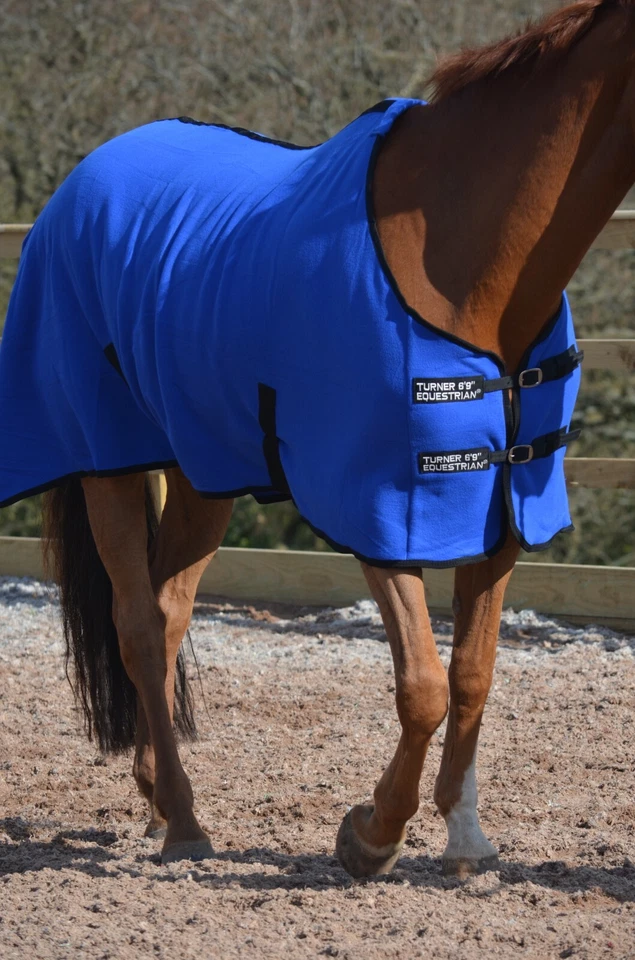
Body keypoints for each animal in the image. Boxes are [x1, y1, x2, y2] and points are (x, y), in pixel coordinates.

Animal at [2, 0, 634, 875]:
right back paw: (187, 822)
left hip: (202, 472)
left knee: (167, 613)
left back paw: (159, 801)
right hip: (108, 461)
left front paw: (463, 835)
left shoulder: (503, 504)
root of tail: (78, 185)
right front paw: (372, 832)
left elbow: (472, 674)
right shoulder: (380, 504)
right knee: (137, 626)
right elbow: (422, 686)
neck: (462, 261)